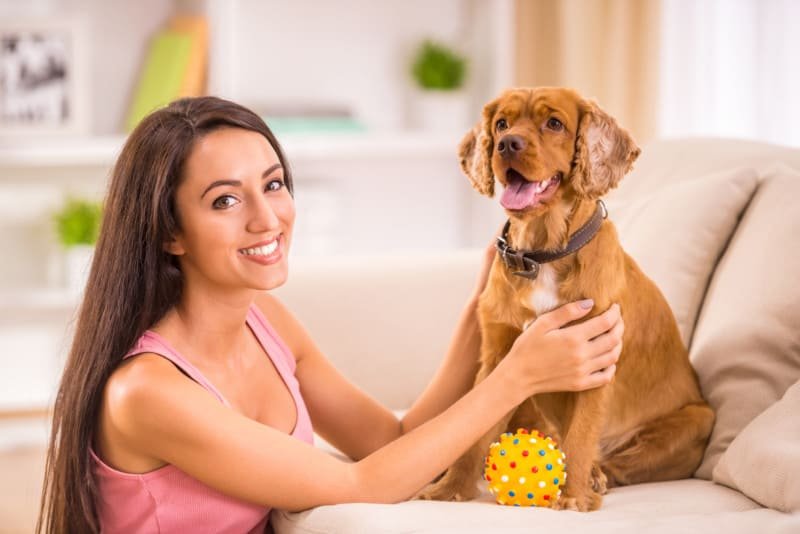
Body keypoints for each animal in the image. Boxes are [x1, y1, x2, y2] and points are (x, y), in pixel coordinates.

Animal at [418, 89, 712, 516]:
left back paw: (594, 478)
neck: (542, 255)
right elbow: (474, 428)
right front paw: (451, 489)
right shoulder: (497, 357)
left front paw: (573, 497)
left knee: (614, 463)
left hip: (698, 418)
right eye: (501, 124)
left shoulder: (597, 358)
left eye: (554, 123)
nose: (507, 144)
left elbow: (582, 433)